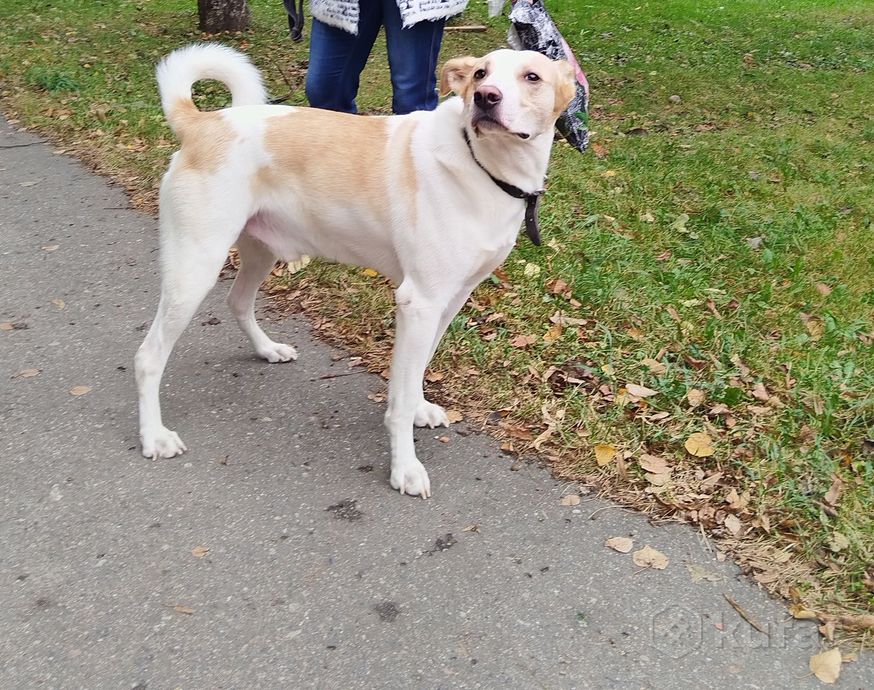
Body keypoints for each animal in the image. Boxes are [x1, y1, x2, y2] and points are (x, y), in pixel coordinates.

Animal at [135, 44, 576, 498]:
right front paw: (405, 467)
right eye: (480, 74)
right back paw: (154, 436)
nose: (487, 97)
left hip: (260, 252)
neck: (483, 165)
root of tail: (202, 122)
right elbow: (399, 399)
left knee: (237, 302)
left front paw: (419, 408)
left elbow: (417, 371)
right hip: (195, 266)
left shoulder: (448, 302)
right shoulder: (419, 303)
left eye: (532, 77)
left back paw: (267, 349)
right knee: (148, 356)